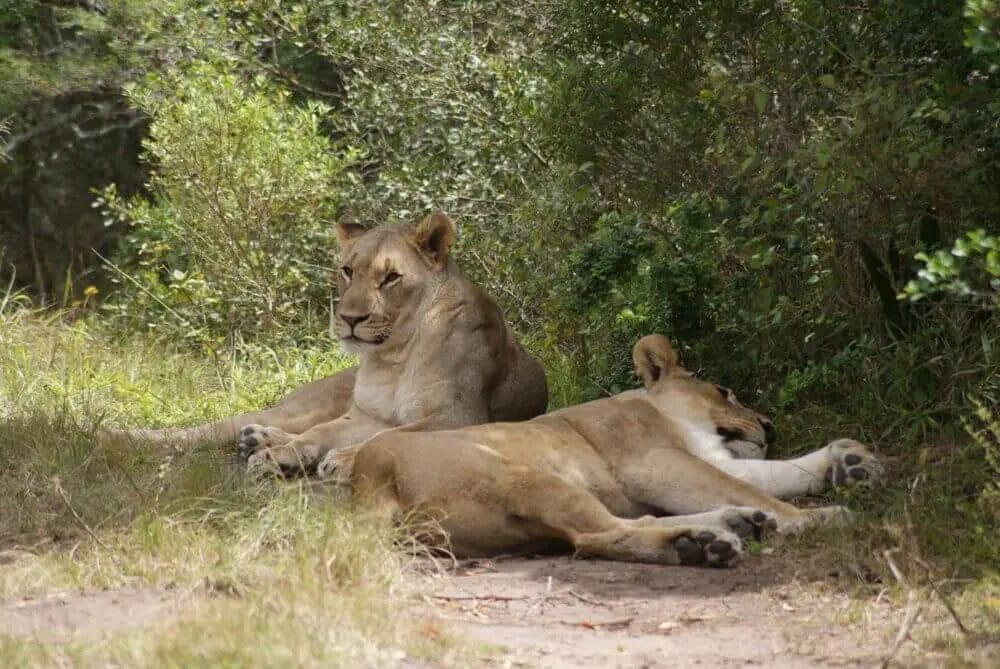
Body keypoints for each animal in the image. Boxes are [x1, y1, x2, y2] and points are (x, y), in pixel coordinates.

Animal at [107, 212, 549, 465]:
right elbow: (327, 433)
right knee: (214, 428)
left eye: (391, 277)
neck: (393, 357)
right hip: (303, 405)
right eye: (348, 270)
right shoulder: (364, 415)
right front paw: (283, 455)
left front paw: (333, 458)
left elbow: (392, 436)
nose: (350, 319)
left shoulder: (460, 417)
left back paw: (257, 441)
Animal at [319, 334, 884, 567]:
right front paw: (818, 517)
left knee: (623, 526)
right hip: (531, 477)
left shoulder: (706, 460)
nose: (771, 426)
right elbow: (760, 489)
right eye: (725, 391)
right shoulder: (657, 463)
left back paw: (727, 526)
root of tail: (368, 473)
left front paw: (850, 461)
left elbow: (774, 475)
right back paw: (703, 544)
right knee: (598, 536)